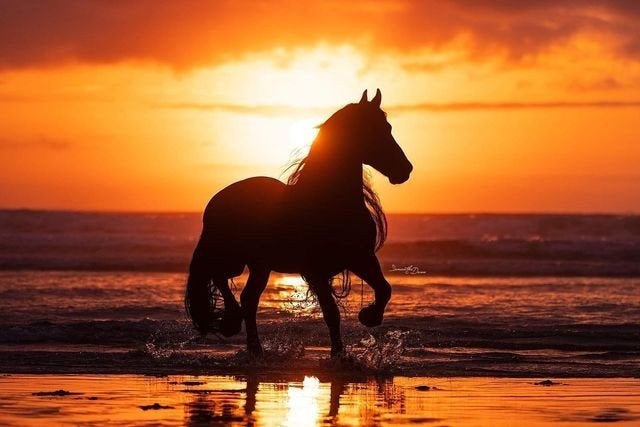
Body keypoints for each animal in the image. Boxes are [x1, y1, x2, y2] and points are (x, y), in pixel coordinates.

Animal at [185, 89, 413, 357]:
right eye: (373, 128)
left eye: (387, 127)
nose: (405, 170)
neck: (330, 202)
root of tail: (216, 200)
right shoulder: (315, 270)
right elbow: (331, 313)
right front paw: (339, 353)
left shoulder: (361, 258)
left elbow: (384, 289)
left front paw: (368, 317)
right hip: (235, 259)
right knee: (220, 277)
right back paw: (232, 322)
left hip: (260, 265)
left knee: (248, 298)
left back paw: (255, 347)